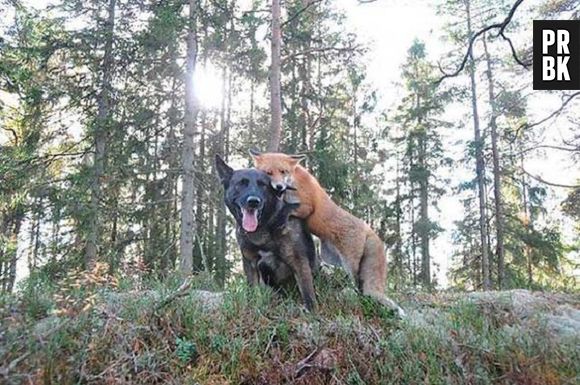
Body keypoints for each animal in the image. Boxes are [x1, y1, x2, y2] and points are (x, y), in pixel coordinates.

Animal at [215, 154, 320, 310]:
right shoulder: (250, 263)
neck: (263, 226)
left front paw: (312, 311)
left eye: (263, 185)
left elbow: (307, 293)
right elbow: (252, 291)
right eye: (241, 183)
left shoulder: (299, 261)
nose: (253, 201)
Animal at [251, 148, 406, 316]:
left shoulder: (307, 206)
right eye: (268, 172)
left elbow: (289, 209)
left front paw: (280, 218)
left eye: (283, 171)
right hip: (330, 257)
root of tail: (369, 229)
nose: (279, 186)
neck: (293, 183)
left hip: (350, 264)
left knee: (358, 285)